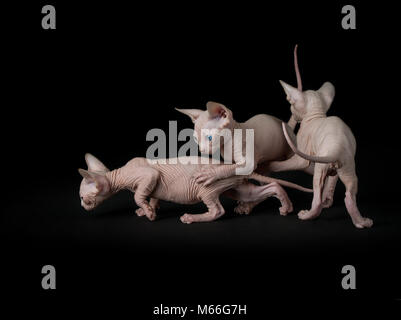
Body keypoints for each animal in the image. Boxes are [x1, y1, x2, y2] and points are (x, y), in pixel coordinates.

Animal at [77, 154, 310, 224]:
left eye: (83, 198)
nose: (82, 206)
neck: (120, 173)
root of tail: (229, 168)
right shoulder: (151, 185)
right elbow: (151, 197)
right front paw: (148, 209)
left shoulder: (149, 175)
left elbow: (138, 195)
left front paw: (149, 213)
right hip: (232, 187)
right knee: (269, 186)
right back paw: (286, 207)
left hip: (206, 187)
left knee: (217, 211)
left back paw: (191, 217)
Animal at [268, 46, 374, 229]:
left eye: (291, 104)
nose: (292, 116)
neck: (316, 115)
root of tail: (336, 149)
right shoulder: (333, 170)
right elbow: (332, 182)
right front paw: (328, 200)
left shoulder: (302, 155)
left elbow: (285, 164)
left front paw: (269, 165)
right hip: (347, 167)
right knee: (349, 196)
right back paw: (361, 222)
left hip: (321, 166)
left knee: (316, 196)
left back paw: (307, 215)